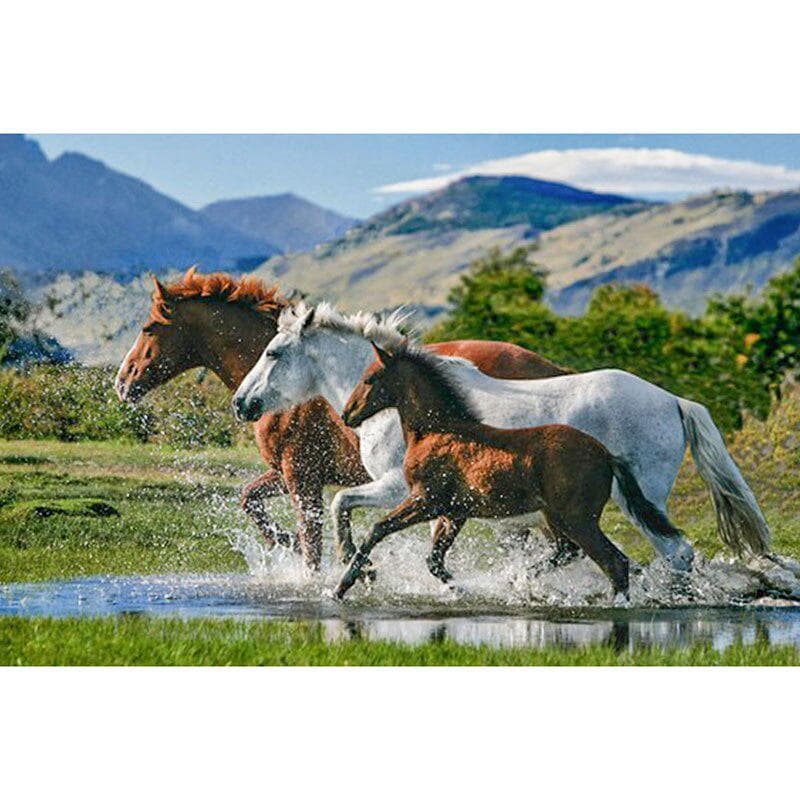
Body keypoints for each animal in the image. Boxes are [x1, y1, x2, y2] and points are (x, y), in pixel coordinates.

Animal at [116, 268, 571, 568]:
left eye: (149, 327)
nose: (122, 382)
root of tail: (554, 370)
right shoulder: (289, 473)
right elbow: (251, 500)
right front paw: (288, 543)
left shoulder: (301, 476)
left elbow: (312, 541)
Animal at [232, 300, 772, 569]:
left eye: (274, 353)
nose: (242, 403)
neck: (407, 404)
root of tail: (673, 400)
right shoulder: (441, 500)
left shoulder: (397, 486)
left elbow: (342, 502)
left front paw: (358, 566)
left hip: (640, 500)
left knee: (674, 551)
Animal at [334, 342, 687, 600]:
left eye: (369, 379)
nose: (347, 414)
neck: (439, 430)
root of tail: (606, 455)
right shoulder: (454, 512)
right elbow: (434, 561)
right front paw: (463, 589)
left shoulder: (425, 501)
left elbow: (376, 530)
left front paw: (343, 584)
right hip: (557, 519)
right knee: (572, 552)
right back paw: (521, 581)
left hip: (577, 519)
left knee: (616, 561)